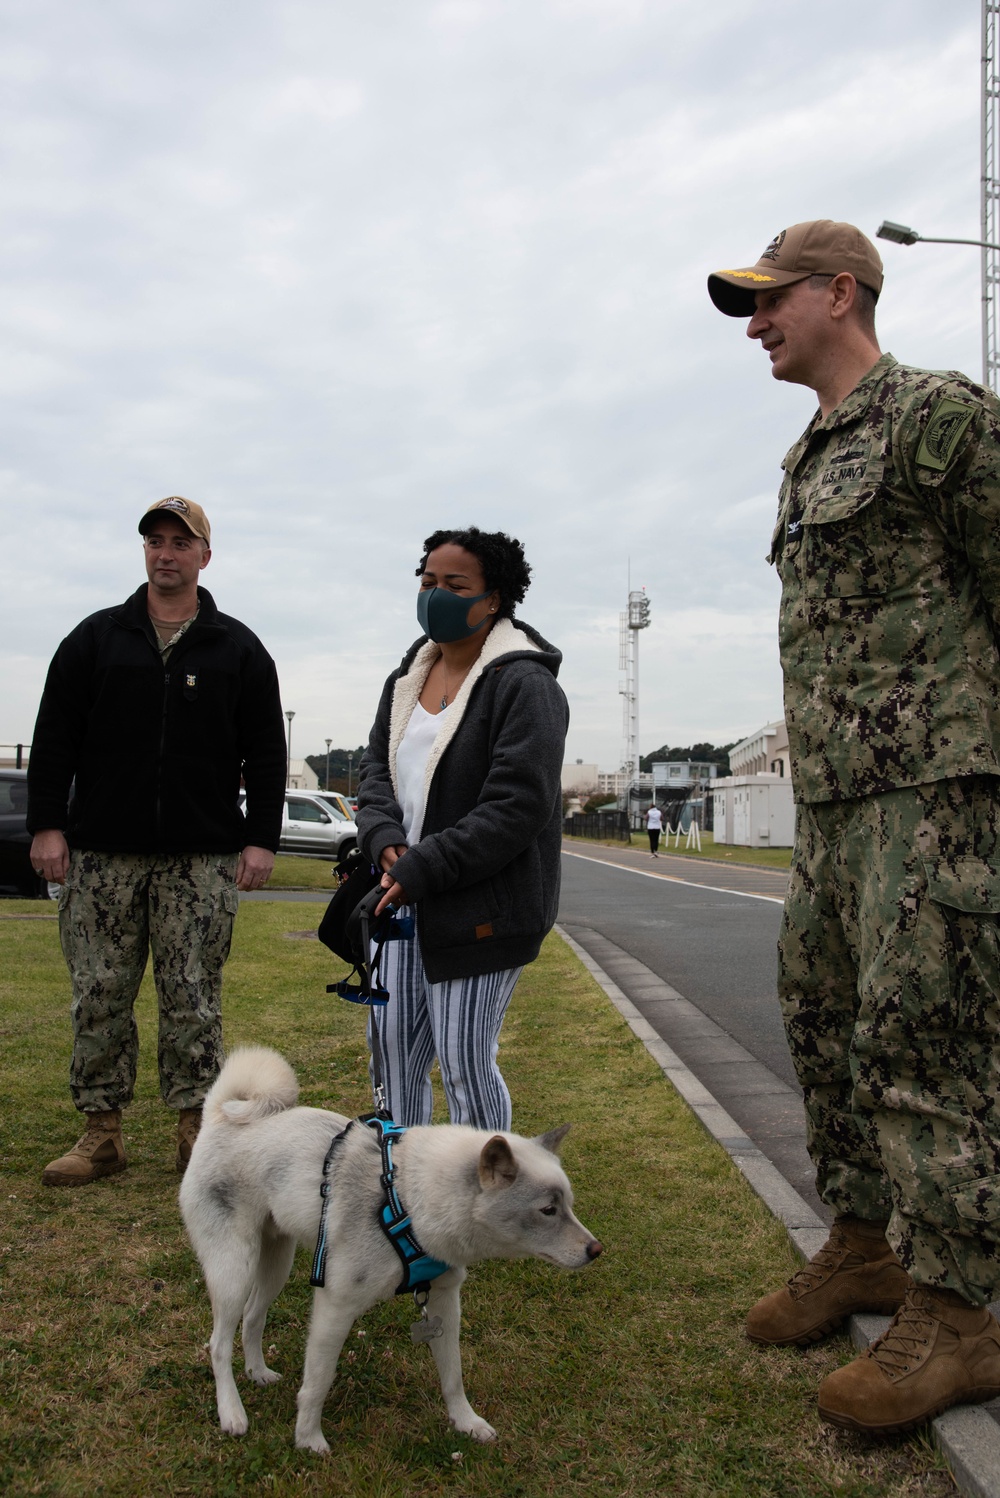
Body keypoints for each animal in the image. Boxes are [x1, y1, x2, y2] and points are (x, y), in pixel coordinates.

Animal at [178, 1048, 601, 1456]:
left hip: (274, 1264)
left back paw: (258, 1373)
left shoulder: (445, 1302)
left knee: (252, 1319)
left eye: (568, 1205)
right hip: (235, 1270)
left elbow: (453, 1376)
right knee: (218, 1345)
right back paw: (232, 1412)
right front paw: (308, 1439)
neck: (409, 1197)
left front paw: (466, 1422)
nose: (596, 1250)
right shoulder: (335, 1307)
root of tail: (218, 1116)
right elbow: (317, 1383)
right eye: (547, 1210)